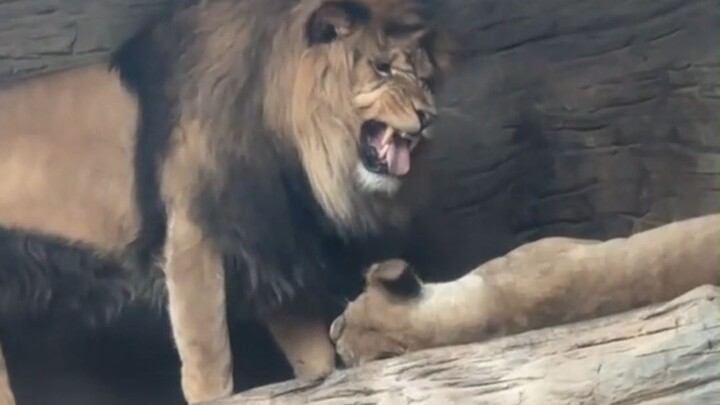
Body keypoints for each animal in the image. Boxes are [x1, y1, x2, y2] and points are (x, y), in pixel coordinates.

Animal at [0, 0, 455, 403]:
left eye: (425, 79)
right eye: (382, 68)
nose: (428, 117)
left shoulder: (268, 245)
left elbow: (313, 354)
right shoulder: (193, 235)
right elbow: (208, 353)